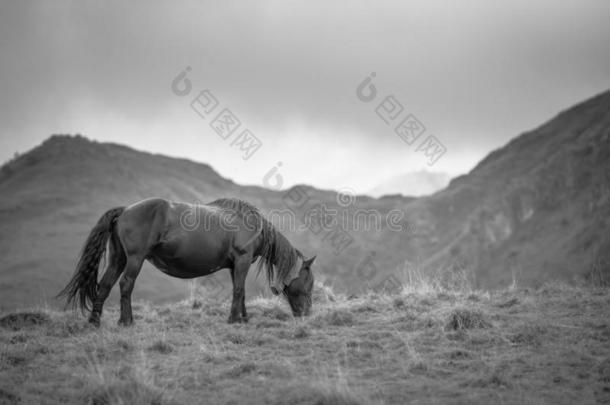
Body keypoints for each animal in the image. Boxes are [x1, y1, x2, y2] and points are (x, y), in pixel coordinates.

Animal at [55, 196, 314, 326]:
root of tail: (125, 209)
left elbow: (239, 291)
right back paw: (126, 321)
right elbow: (239, 290)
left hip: (118, 259)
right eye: (309, 283)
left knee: (105, 286)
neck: (251, 225)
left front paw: (243, 318)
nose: (307, 314)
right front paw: (234, 320)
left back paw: (94, 321)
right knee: (125, 285)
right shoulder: (241, 261)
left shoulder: (235, 266)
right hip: (135, 260)